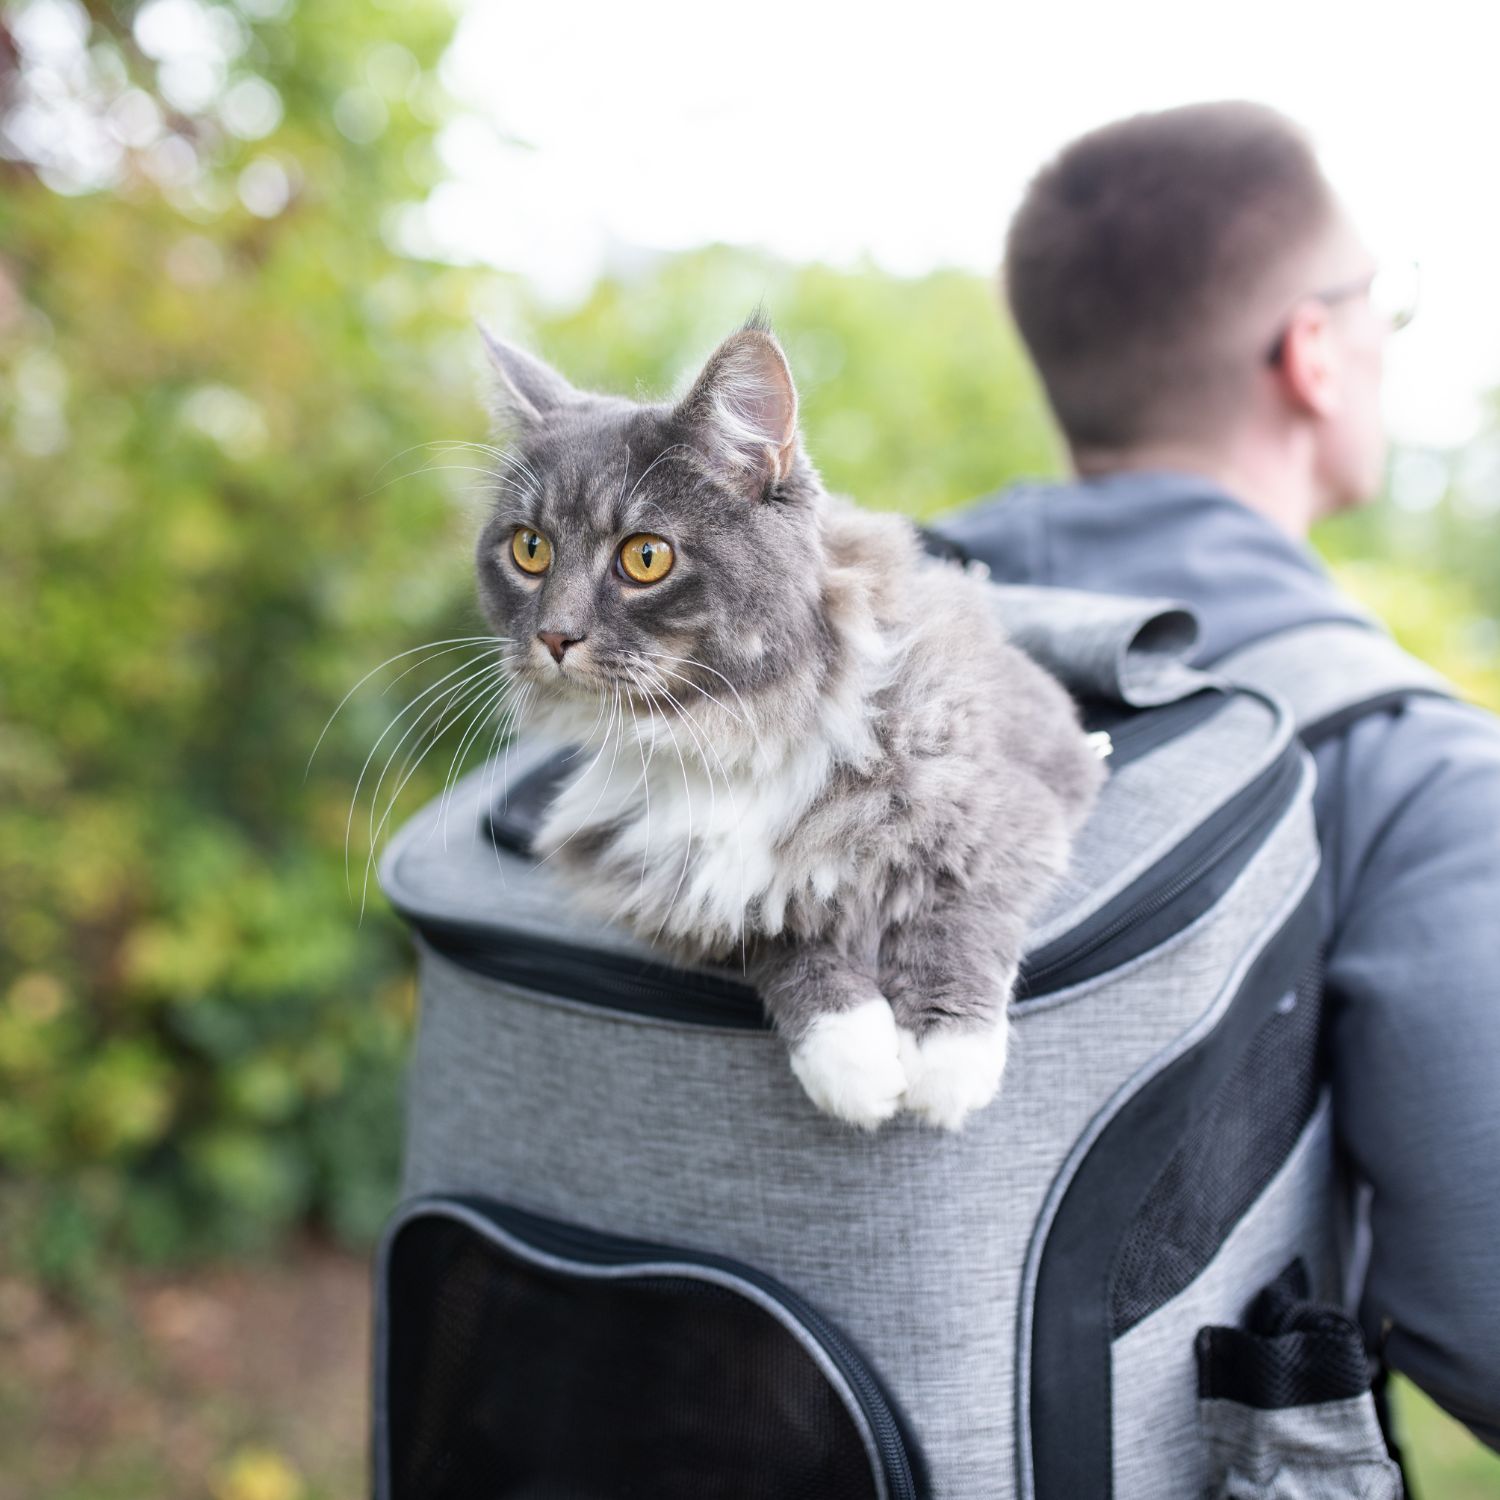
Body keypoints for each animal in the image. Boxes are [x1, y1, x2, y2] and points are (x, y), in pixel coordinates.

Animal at [474, 322, 1110, 1128]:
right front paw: (853, 1060)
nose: (554, 637)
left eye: (645, 556)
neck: (727, 736)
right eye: (529, 549)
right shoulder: (658, 886)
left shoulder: (1021, 800)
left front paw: (945, 1058)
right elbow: (777, 933)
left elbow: (959, 912)